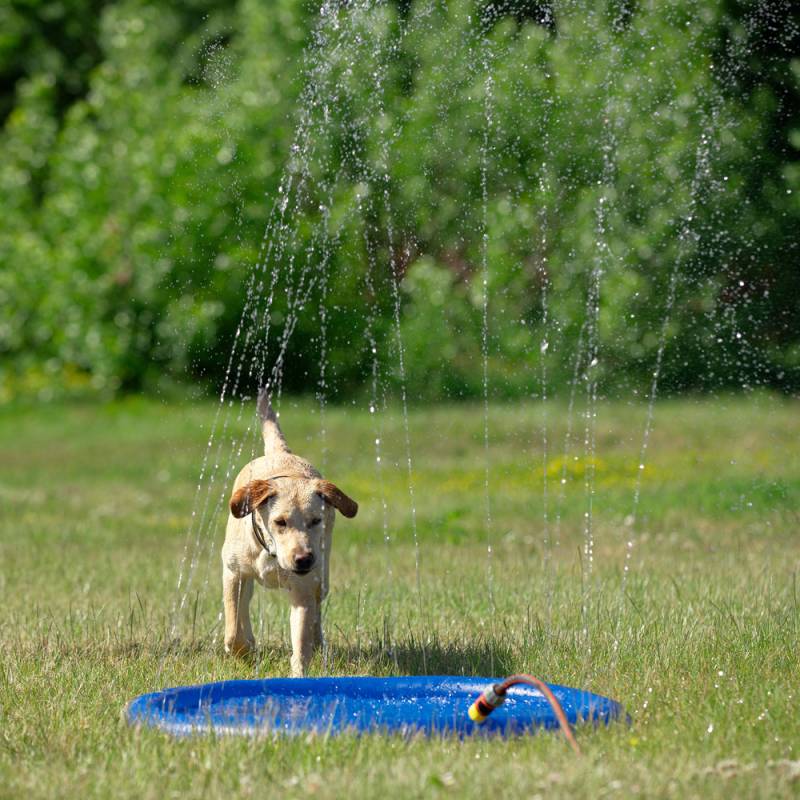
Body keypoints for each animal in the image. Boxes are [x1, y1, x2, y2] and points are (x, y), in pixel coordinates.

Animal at [219, 390, 356, 680]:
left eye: (315, 520)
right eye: (279, 522)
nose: (303, 559)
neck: (271, 554)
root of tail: (280, 452)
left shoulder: (304, 589)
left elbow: (301, 639)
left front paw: (299, 676)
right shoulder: (233, 572)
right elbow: (234, 628)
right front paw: (244, 652)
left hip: (322, 574)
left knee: (317, 612)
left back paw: (319, 643)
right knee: (244, 605)